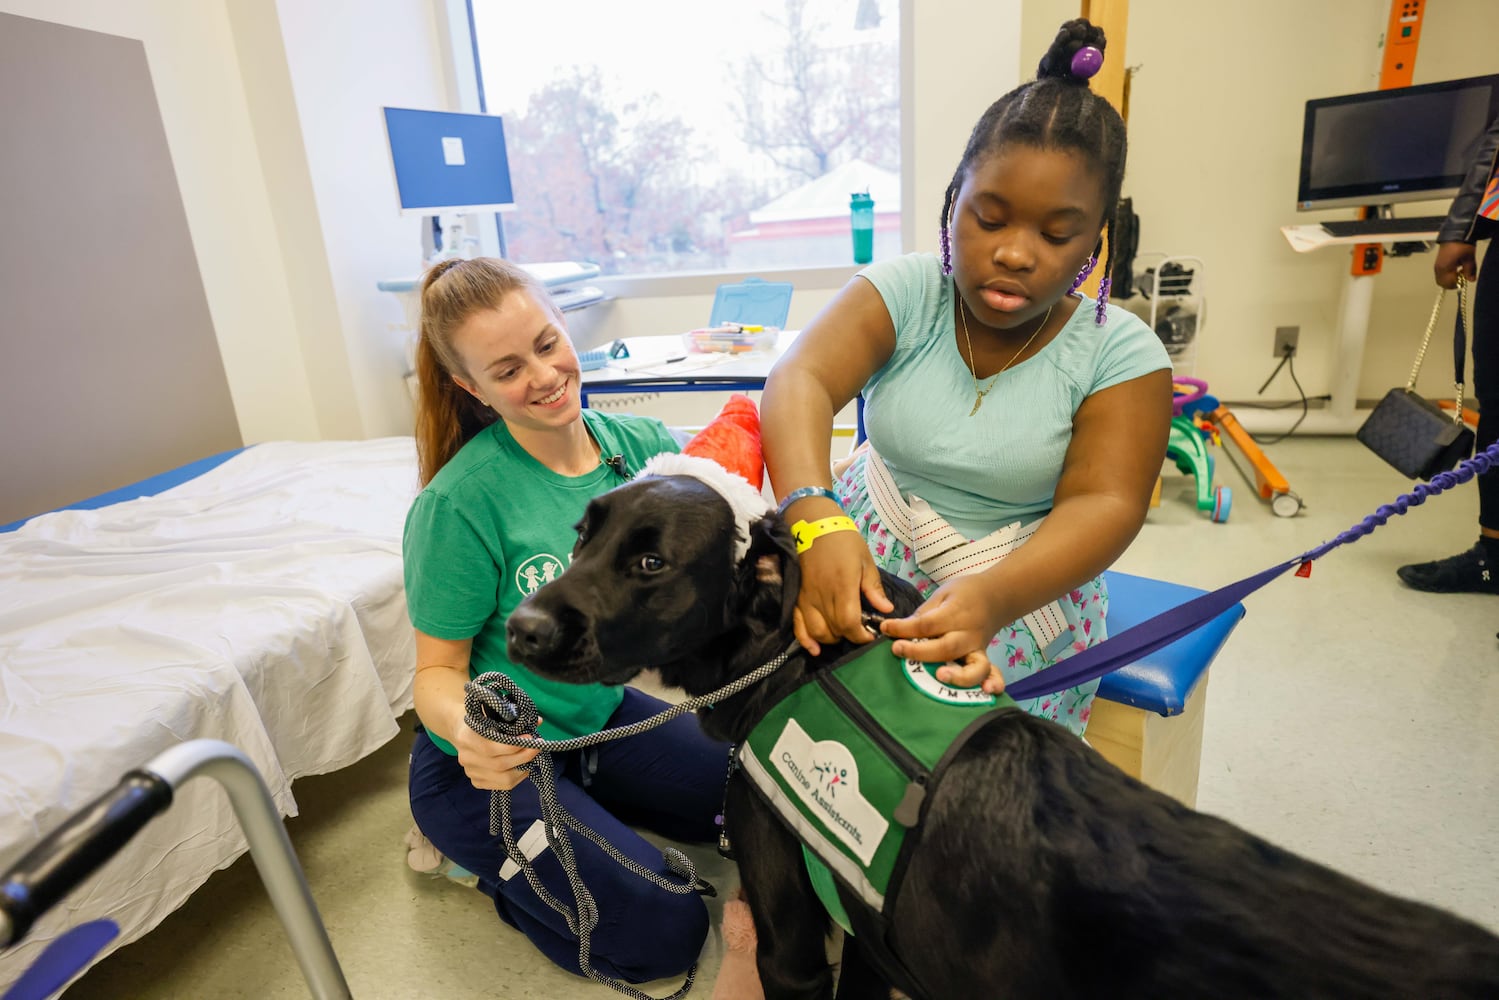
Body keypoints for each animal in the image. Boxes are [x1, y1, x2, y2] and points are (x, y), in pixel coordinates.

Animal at [506, 458, 1499, 1000]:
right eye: (581, 535)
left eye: (649, 564)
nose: (519, 630)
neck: (796, 656)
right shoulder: (869, 940)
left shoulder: (792, 943)